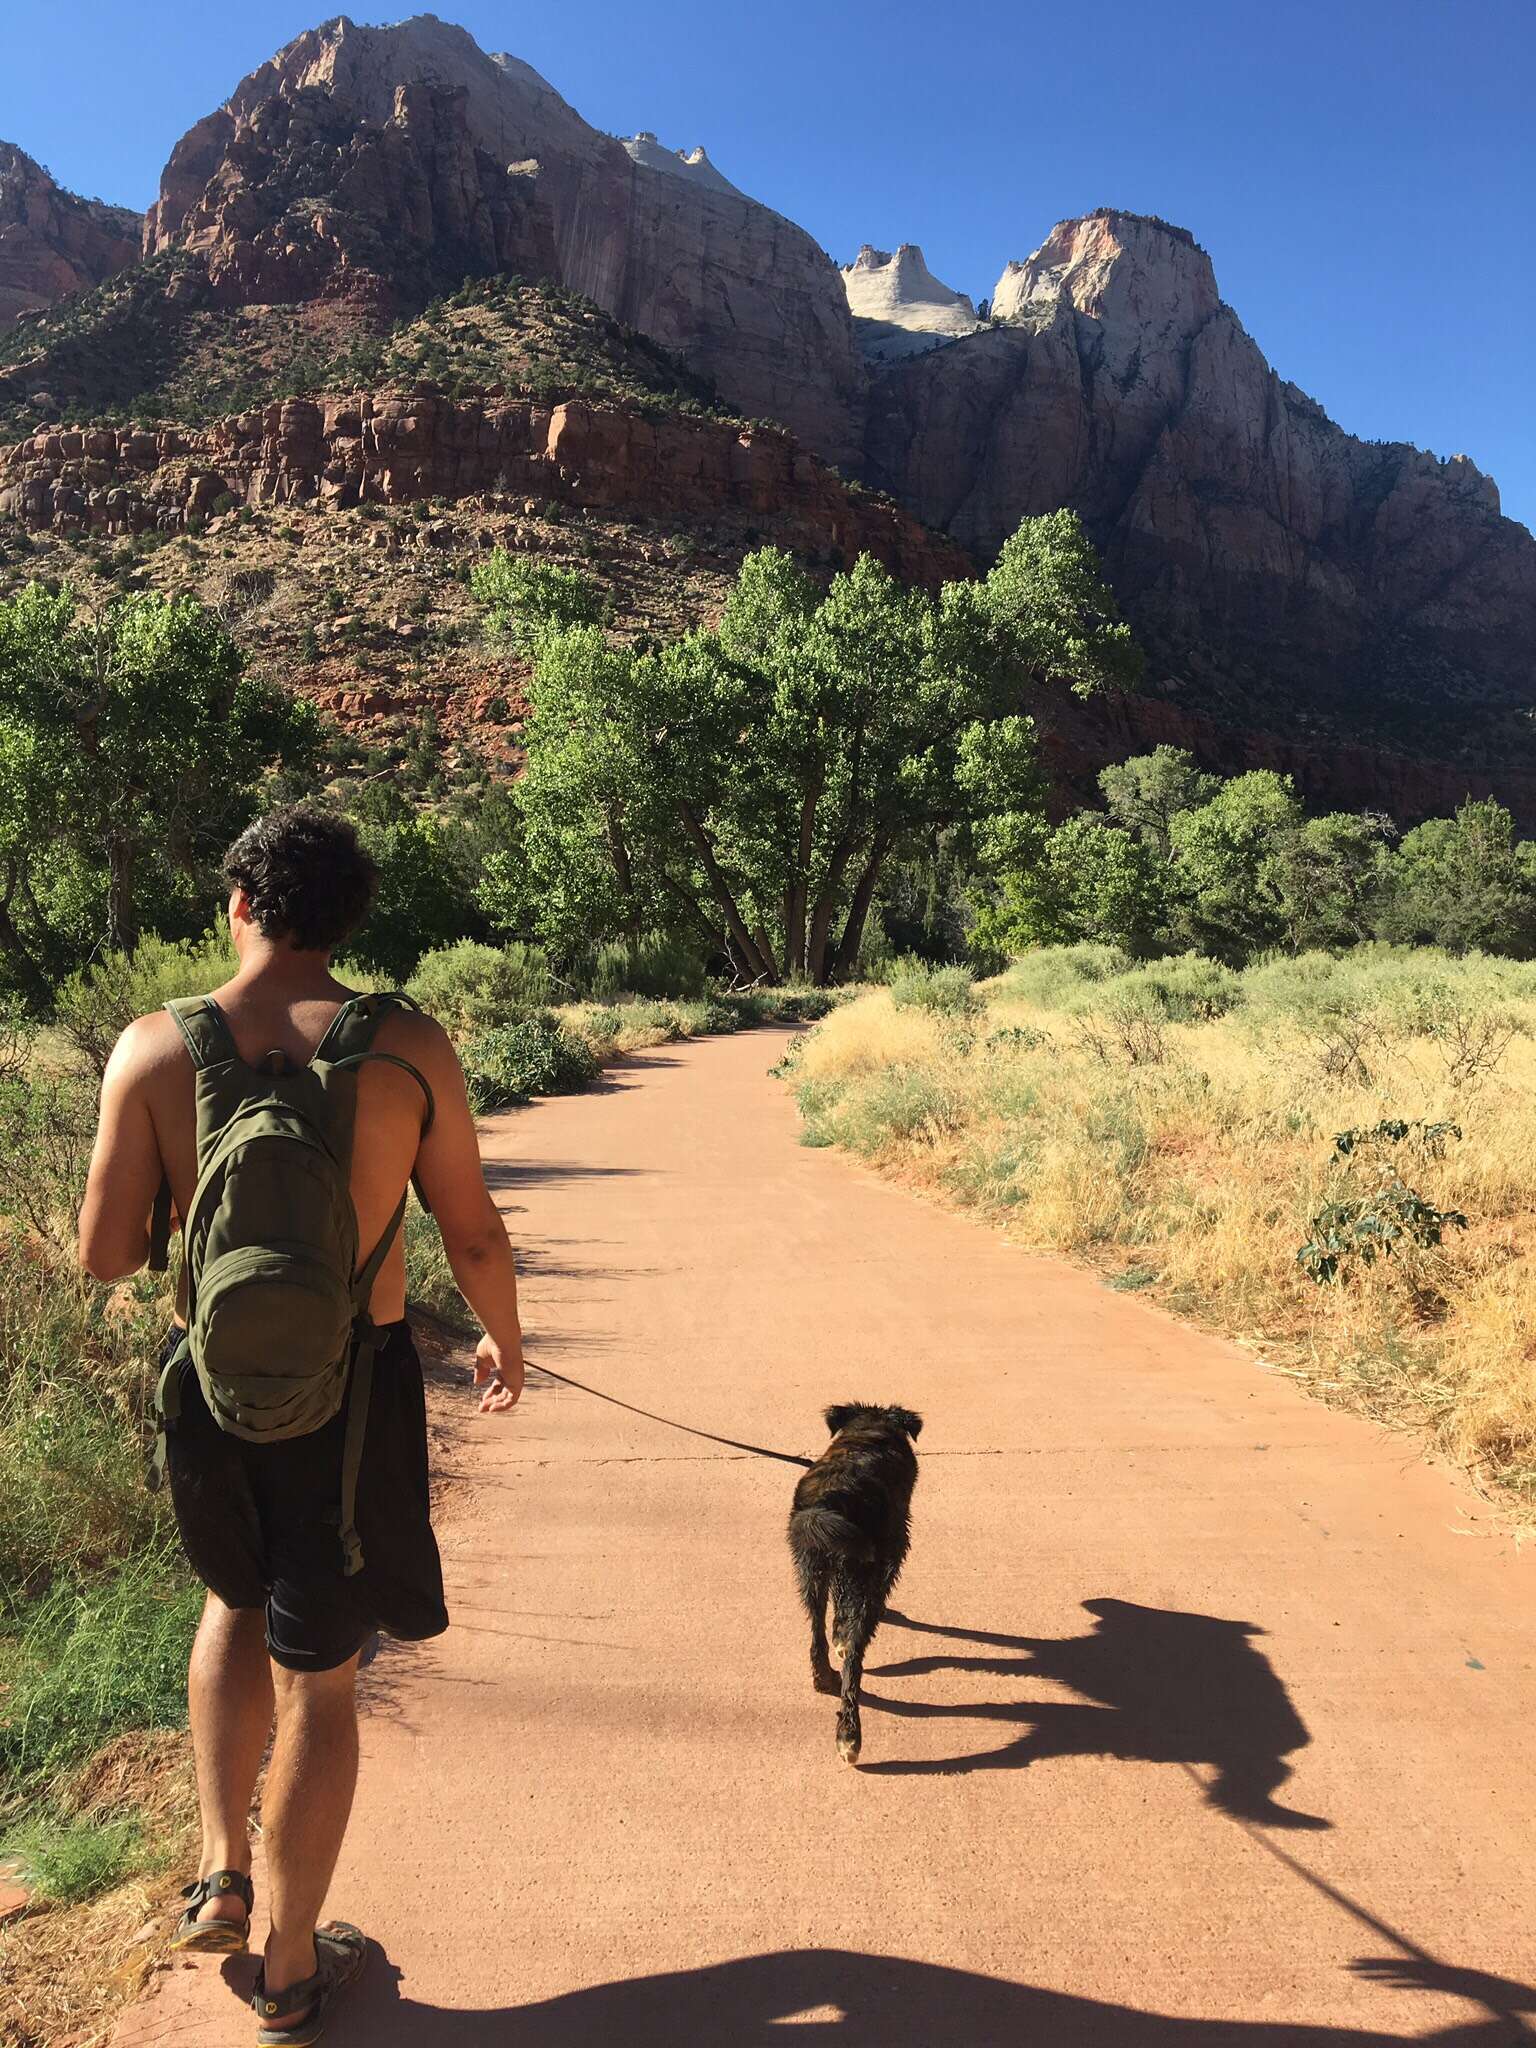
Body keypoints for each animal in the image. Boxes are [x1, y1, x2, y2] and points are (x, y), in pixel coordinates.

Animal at [786, 1400, 921, 1769]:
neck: (868, 1430)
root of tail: (832, 1499)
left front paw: (838, 1636)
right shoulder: (893, 1547)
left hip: (810, 1567)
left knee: (816, 1634)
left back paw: (823, 1678)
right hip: (861, 1569)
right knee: (854, 1659)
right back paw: (849, 1736)